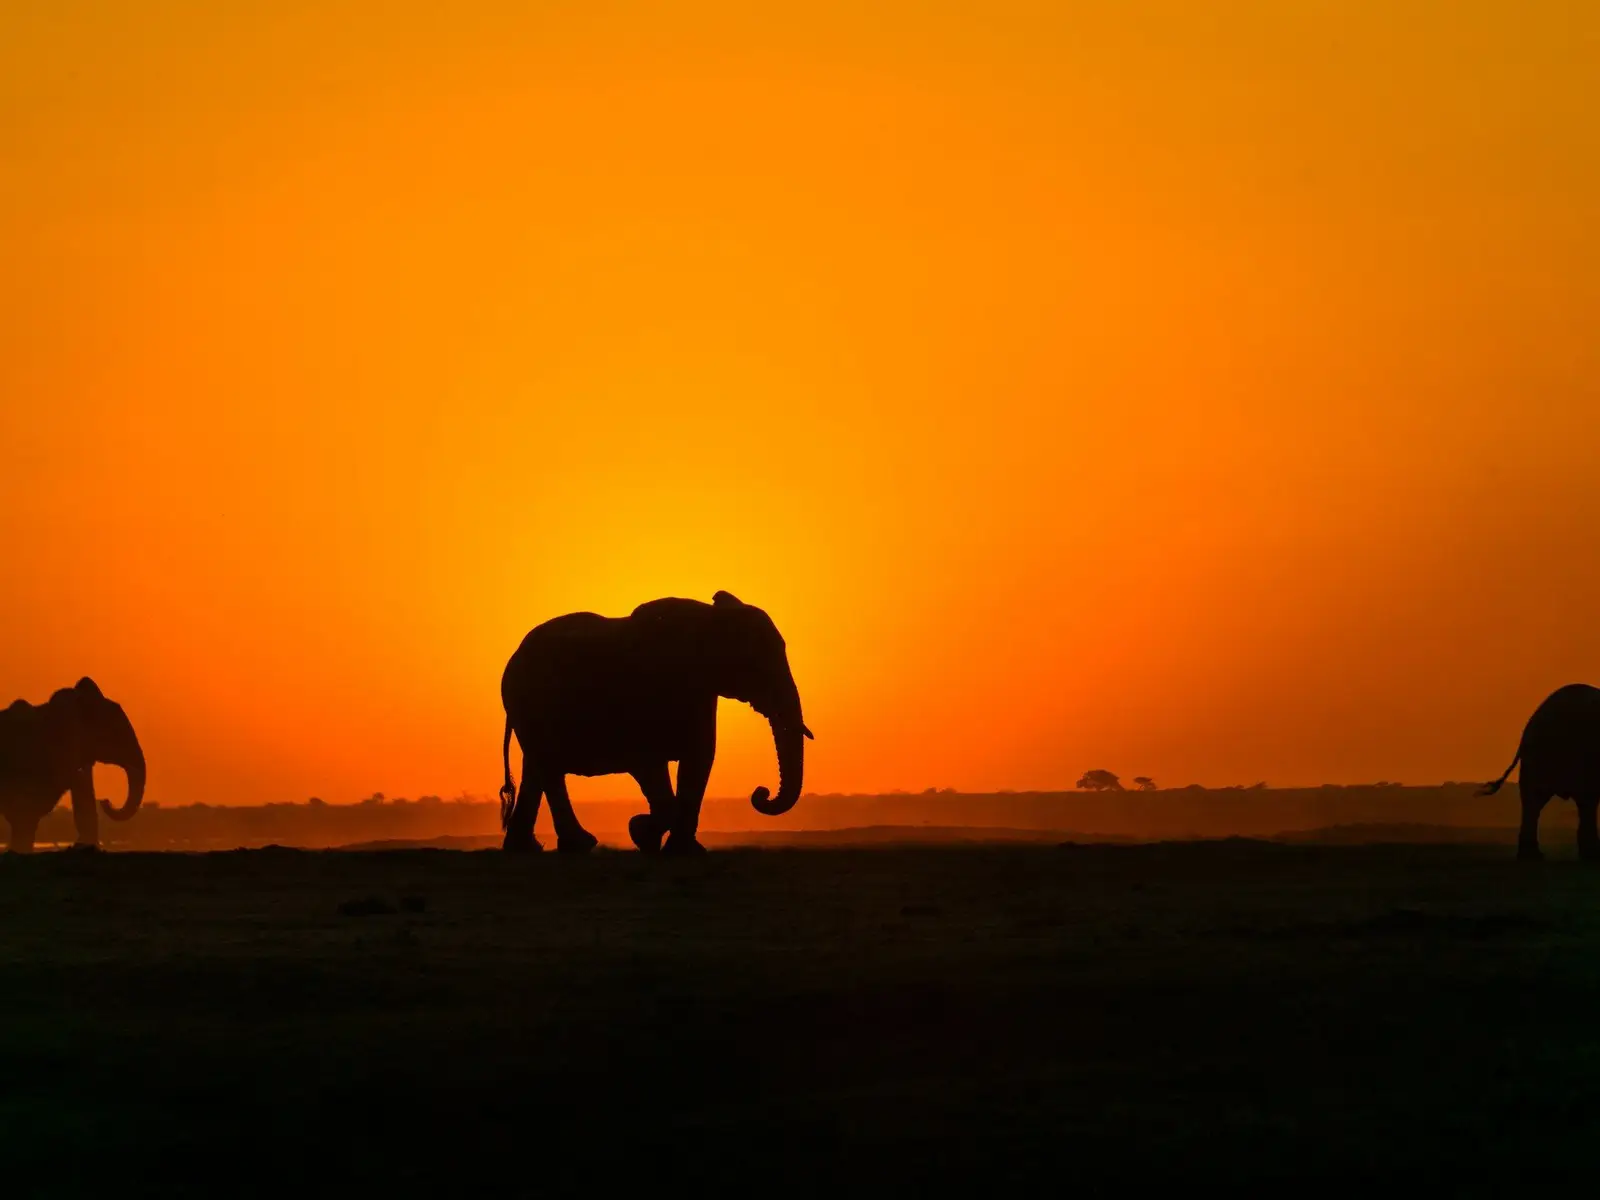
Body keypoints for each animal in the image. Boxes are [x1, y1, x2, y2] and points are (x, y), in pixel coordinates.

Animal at [497, 591, 812, 854]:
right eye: (756, 663)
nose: (760, 793)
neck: (709, 619)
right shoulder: (645, 694)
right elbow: (648, 762)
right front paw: (641, 832)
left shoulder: (701, 692)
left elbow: (699, 760)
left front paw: (684, 852)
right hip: (529, 704)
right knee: (548, 767)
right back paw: (577, 845)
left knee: (538, 768)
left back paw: (529, 849)